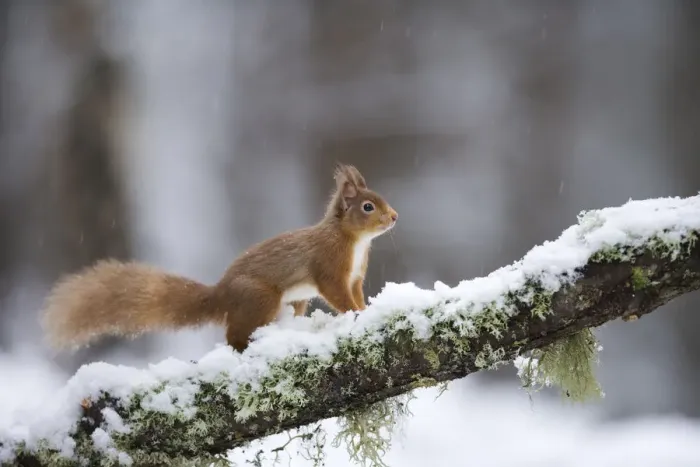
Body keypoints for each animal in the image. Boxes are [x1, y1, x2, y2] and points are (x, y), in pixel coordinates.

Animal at [41, 164, 398, 353]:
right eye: (368, 207)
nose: (394, 217)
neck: (354, 242)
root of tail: (222, 294)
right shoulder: (329, 266)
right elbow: (336, 294)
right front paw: (355, 313)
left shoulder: (355, 275)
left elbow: (356, 293)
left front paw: (365, 308)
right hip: (260, 298)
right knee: (233, 336)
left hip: (291, 302)